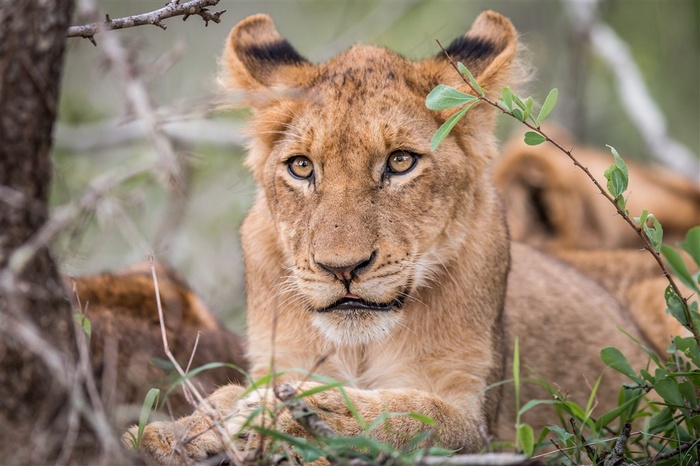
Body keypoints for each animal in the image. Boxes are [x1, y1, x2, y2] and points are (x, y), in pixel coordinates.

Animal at [131, 10, 656, 462]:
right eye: (301, 167)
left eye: (401, 161)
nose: (342, 268)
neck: (359, 348)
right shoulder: (281, 359)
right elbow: (223, 398)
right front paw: (182, 430)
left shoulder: (482, 422)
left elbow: (424, 417)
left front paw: (308, 415)